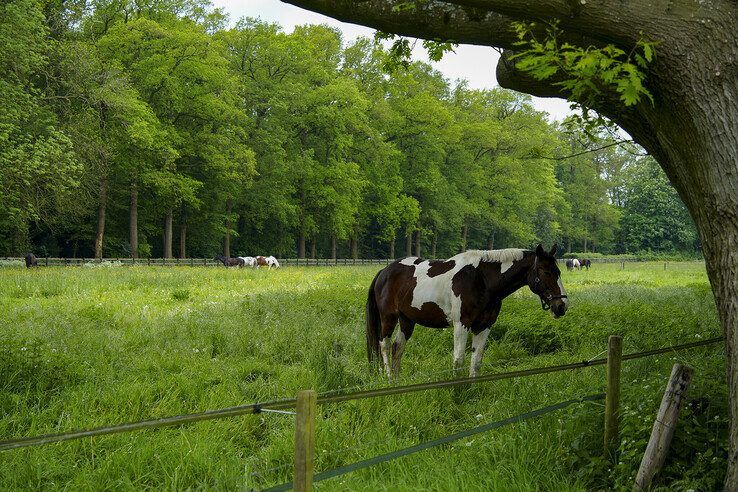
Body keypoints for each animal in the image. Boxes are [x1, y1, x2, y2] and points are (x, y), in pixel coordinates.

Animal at [366, 244, 568, 378]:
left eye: (558, 272)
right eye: (546, 272)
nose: (562, 306)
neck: (482, 280)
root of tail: (384, 271)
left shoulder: (484, 326)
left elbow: (476, 361)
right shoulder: (461, 324)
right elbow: (459, 360)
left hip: (407, 320)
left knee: (397, 347)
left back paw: (397, 381)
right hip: (389, 318)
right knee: (384, 345)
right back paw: (389, 378)